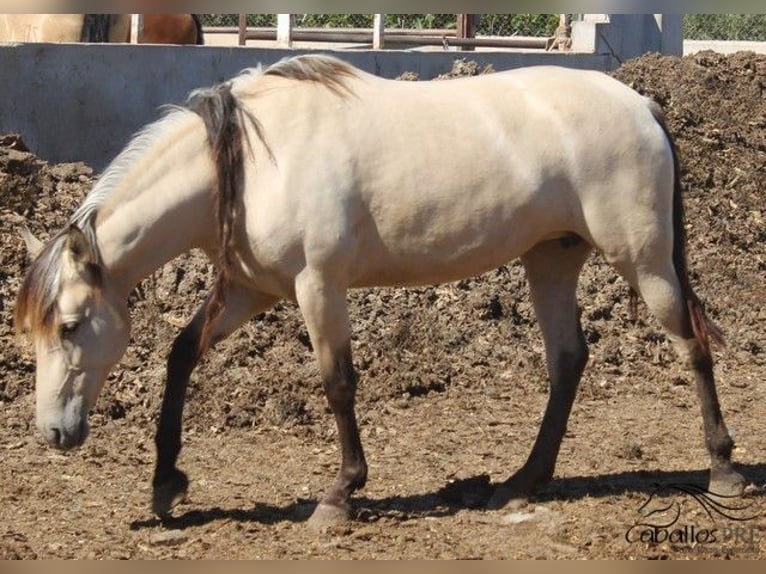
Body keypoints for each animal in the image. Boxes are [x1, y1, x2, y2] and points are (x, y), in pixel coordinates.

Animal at [13, 56, 744, 528]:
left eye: (71, 326)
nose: (55, 432)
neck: (252, 161)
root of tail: (639, 103)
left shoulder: (318, 285)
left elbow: (338, 384)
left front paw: (339, 497)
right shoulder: (250, 291)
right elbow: (181, 356)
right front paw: (166, 485)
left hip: (642, 257)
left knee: (691, 343)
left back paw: (722, 467)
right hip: (552, 261)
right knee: (568, 360)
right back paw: (521, 483)